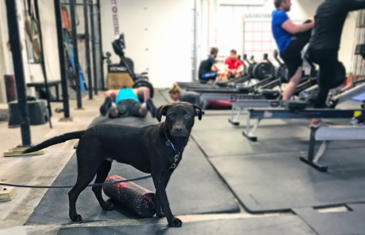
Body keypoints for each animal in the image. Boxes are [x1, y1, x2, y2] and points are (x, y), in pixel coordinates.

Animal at [24, 102, 203, 227]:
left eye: (187, 116)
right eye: (171, 115)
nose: (178, 129)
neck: (169, 141)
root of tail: (85, 132)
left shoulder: (166, 175)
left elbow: (160, 195)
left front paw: (160, 214)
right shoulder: (157, 175)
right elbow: (164, 198)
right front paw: (171, 220)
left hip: (103, 166)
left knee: (96, 188)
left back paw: (104, 206)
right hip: (87, 168)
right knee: (72, 193)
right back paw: (74, 217)